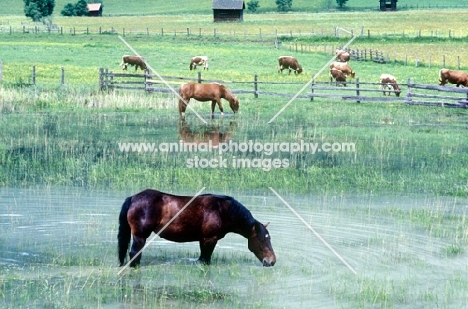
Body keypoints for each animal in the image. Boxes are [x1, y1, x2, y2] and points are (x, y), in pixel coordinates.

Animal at [119, 189, 276, 266]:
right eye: (261, 239)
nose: (272, 261)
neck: (222, 210)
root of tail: (133, 198)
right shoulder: (209, 240)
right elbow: (206, 260)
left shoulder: (203, 240)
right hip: (140, 236)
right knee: (134, 254)